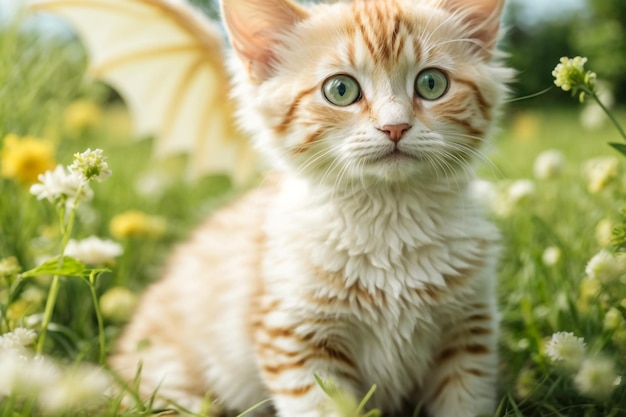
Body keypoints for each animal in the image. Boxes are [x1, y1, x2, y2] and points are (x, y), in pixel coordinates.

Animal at [111, 0, 512, 414]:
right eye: (341, 90)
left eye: (432, 84)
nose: (395, 127)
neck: (389, 220)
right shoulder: (293, 338)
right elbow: (324, 405)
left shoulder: (469, 330)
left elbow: (464, 402)